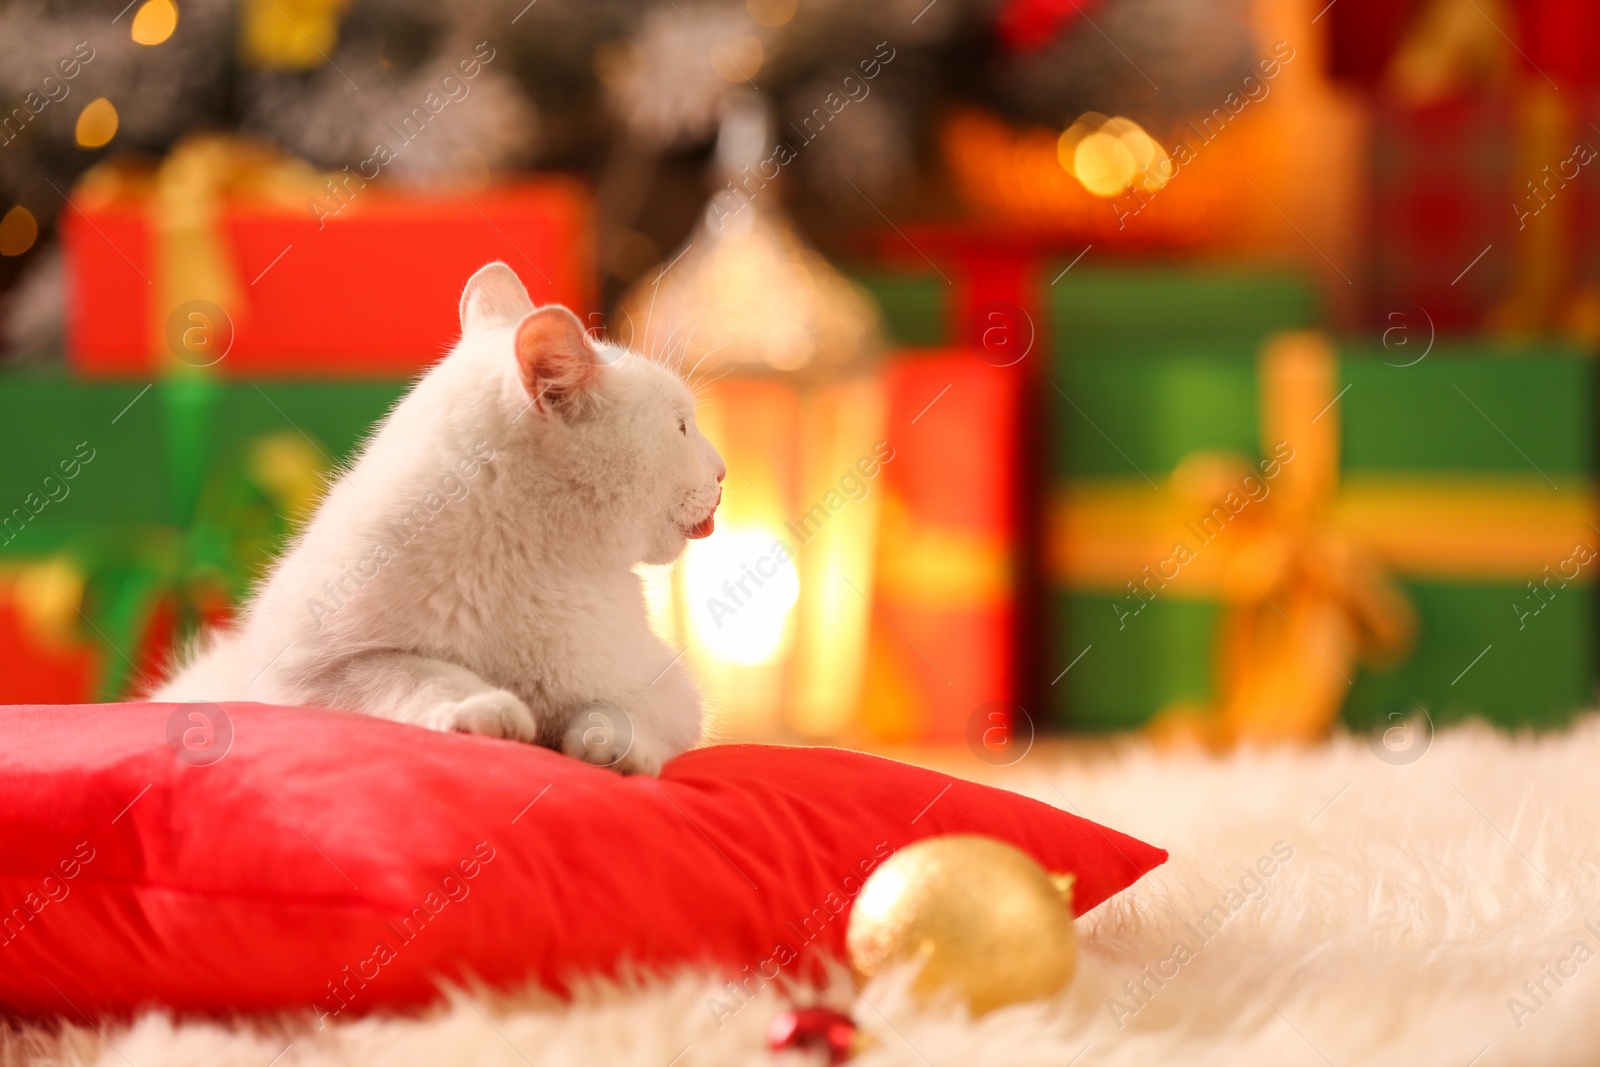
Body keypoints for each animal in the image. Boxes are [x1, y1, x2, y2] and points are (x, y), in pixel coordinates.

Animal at [150, 262, 726, 771]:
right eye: (681, 427)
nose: (722, 472)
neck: (525, 564)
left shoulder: (669, 691)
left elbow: (613, 709)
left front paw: (617, 751)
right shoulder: (312, 674)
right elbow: (419, 673)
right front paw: (486, 709)